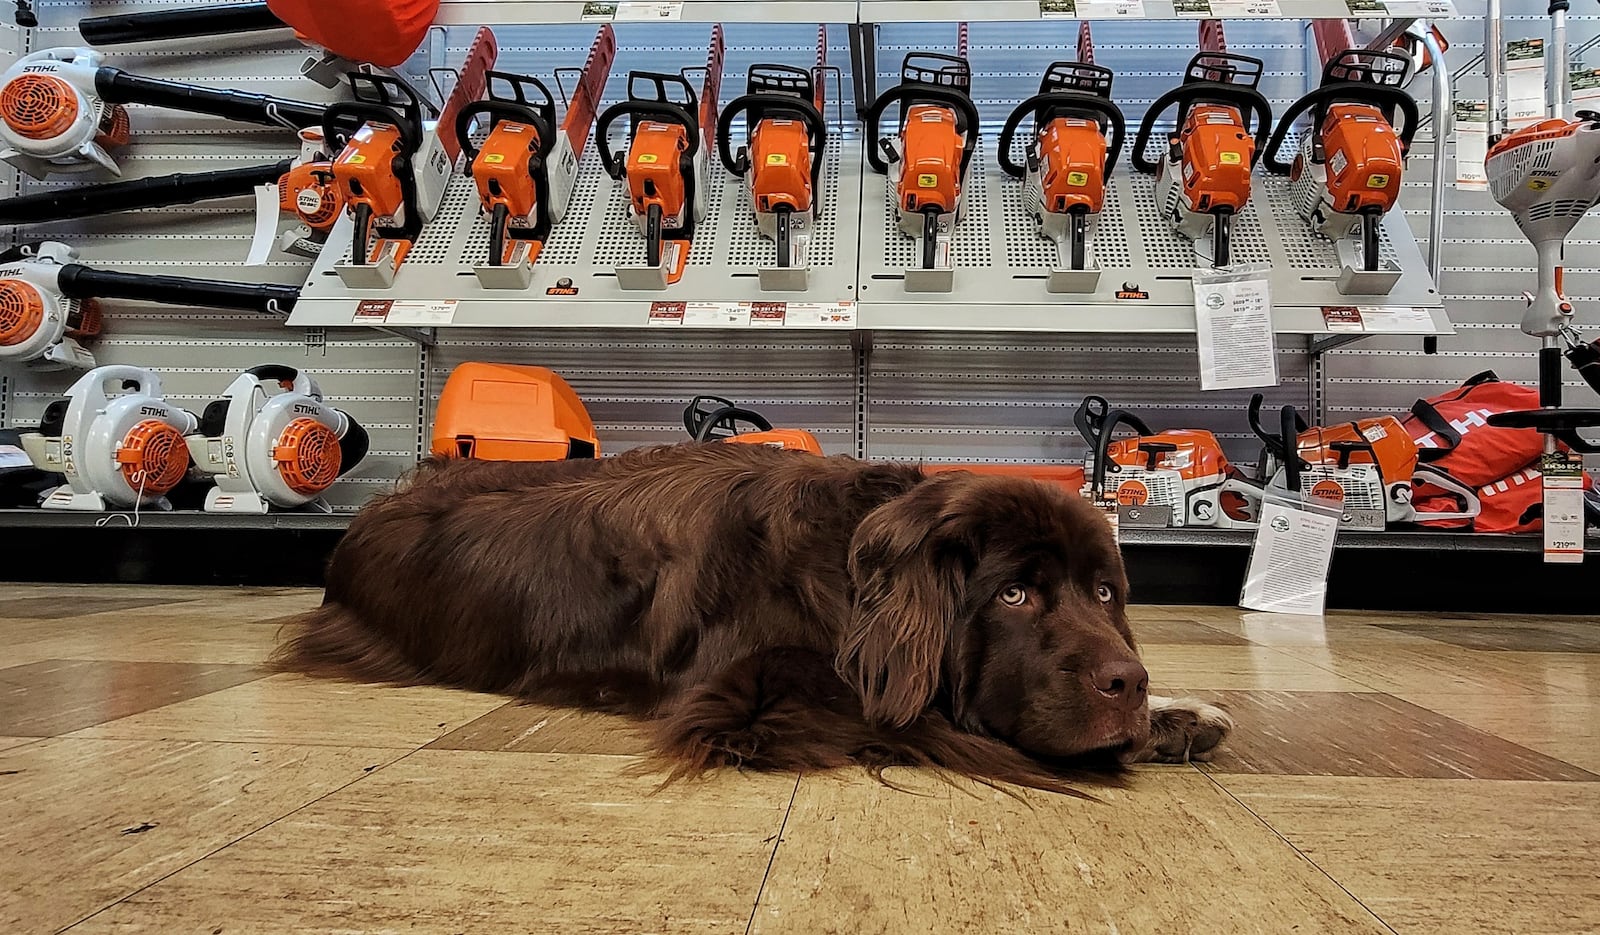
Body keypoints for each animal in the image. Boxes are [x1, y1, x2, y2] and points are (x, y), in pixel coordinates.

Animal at [275, 445, 1228, 787]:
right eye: (1014, 595)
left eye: (1105, 592)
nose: (1126, 681)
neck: (849, 572)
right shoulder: (754, 700)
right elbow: (922, 716)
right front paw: (1145, 734)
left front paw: (1180, 710)